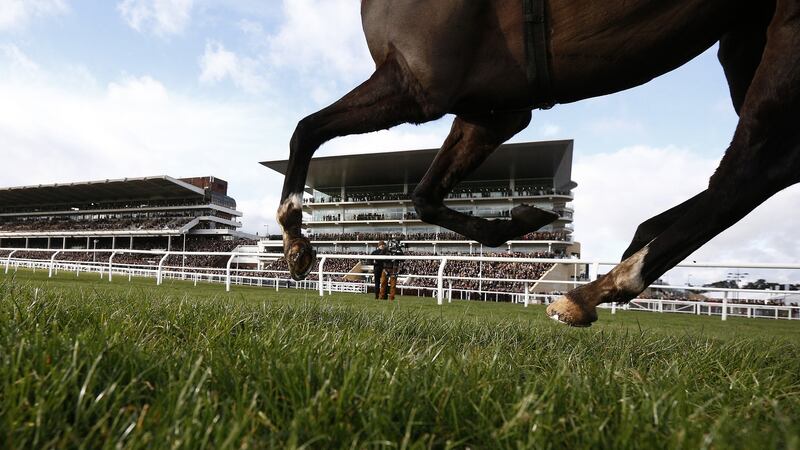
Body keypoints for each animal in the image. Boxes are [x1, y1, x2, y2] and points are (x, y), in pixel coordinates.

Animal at [278, 0, 796, 326]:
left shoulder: (420, 84)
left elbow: (306, 128)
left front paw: (295, 242)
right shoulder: (492, 112)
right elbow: (424, 196)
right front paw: (518, 221)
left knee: (754, 165)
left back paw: (598, 287)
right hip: (744, 40)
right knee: (767, 168)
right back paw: (634, 246)